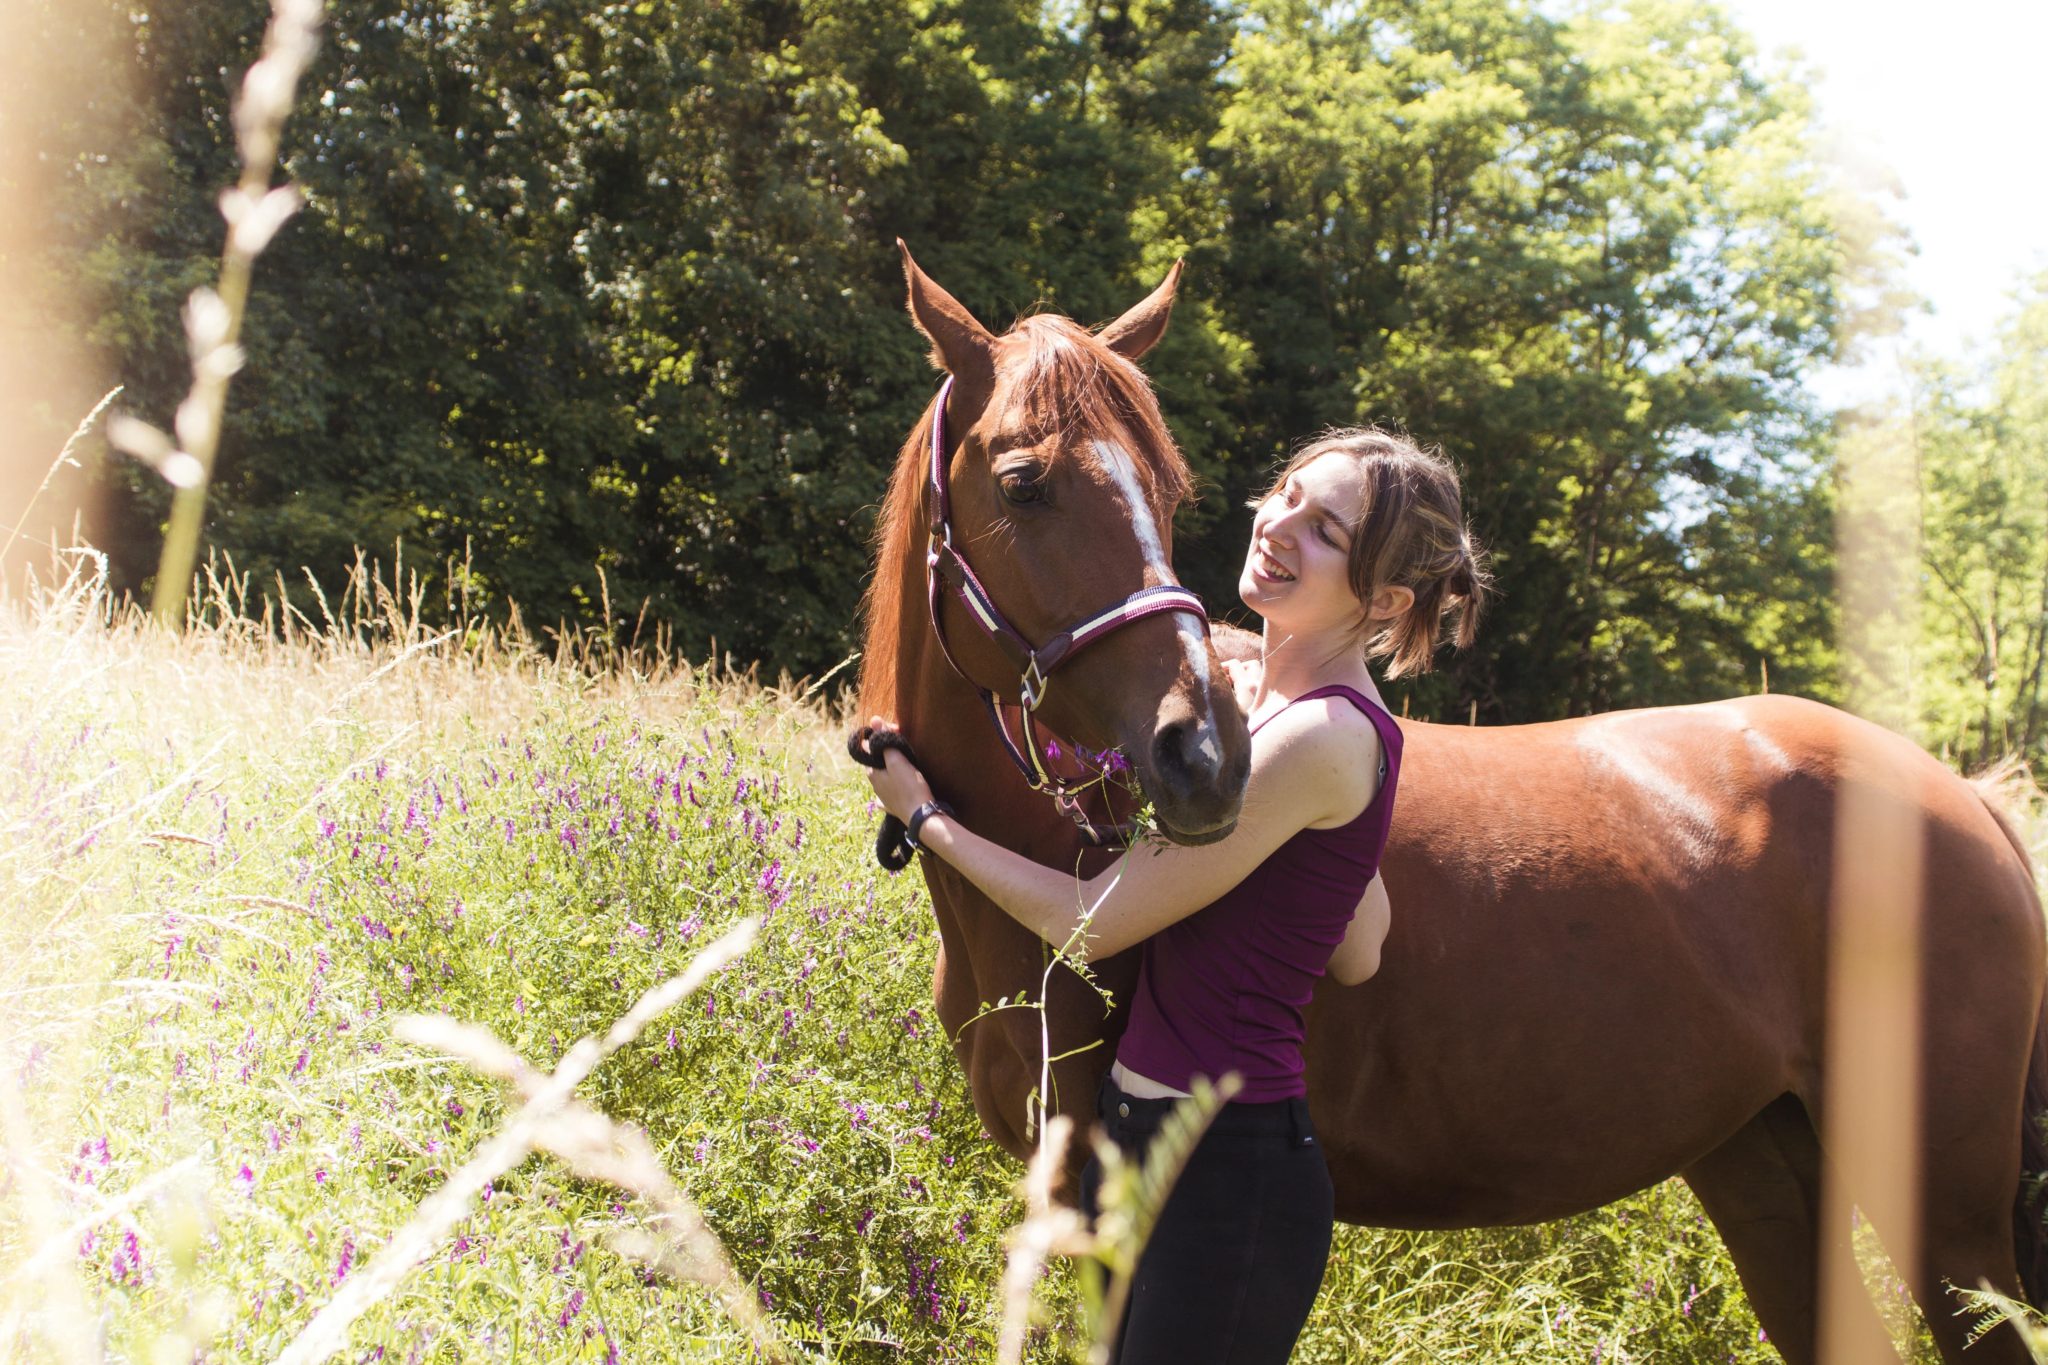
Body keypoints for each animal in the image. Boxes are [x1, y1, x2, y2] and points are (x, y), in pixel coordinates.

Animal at [857, 245, 2048, 1365]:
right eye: (1023, 483)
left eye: (1168, 490)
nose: (1204, 756)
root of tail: (1961, 799)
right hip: (1764, 1163)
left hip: (1948, 1220)